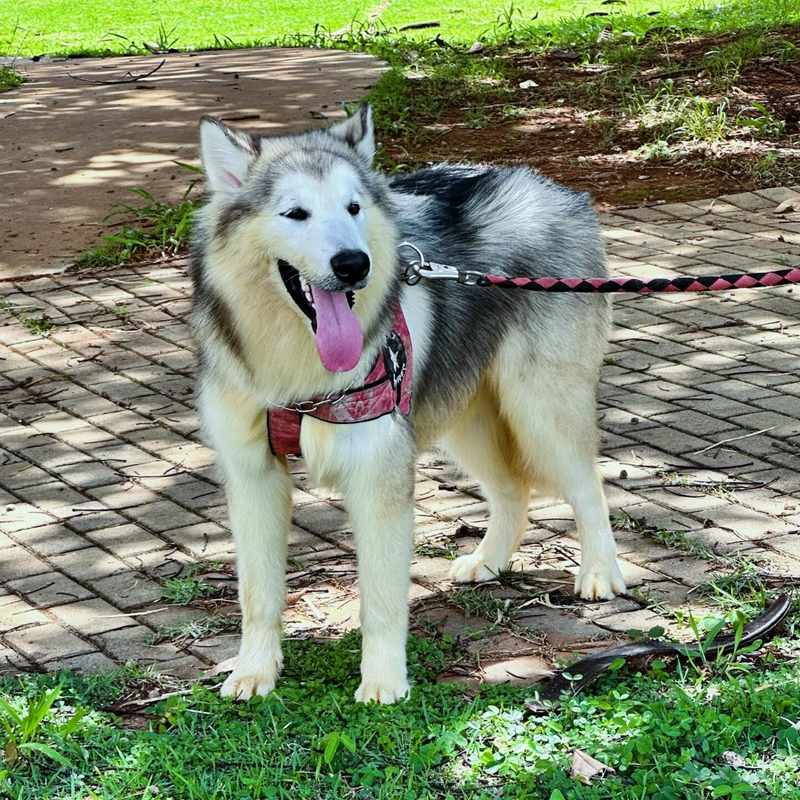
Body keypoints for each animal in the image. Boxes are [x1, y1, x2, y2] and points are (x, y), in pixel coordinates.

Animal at [191, 104, 628, 708]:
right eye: (295, 213)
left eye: (353, 207)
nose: (354, 264)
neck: (298, 377)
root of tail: (555, 189)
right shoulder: (253, 475)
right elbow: (258, 594)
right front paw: (255, 671)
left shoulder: (379, 477)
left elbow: (380, 600)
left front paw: (382, 682)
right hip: (466, 418)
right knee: (512, 490)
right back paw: (489, 561)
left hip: (539, 408)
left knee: (587, 485)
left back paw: (599, 574)